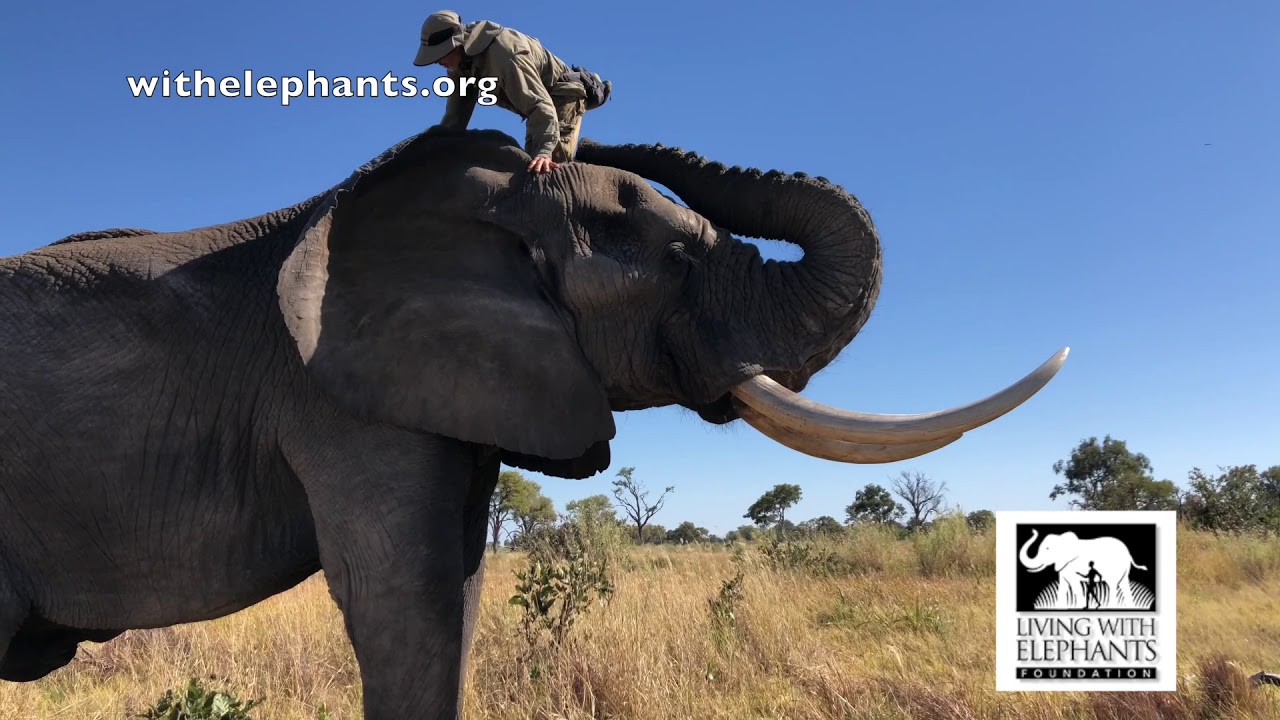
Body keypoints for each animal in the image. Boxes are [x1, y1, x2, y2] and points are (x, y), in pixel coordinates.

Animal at [1018, 529, 1149, 609]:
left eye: (1047, 549)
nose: (1033, 531)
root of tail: (1128, 553)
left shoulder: (1070, 565)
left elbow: (1074, 584)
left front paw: (1080, 607)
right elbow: (1063, 586)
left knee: (1113, 585)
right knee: (1124, 584)